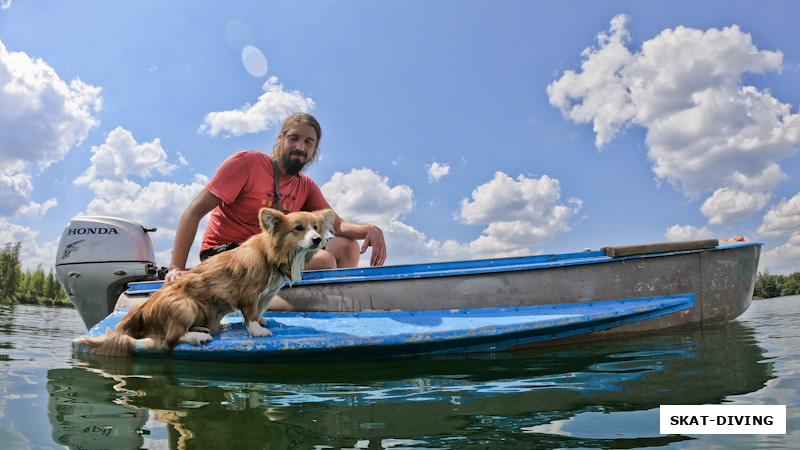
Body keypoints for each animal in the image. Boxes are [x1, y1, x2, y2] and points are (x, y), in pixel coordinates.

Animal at [72, 208, 334, 358]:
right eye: (298, 228)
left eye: (315, 227)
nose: (318, 239)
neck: (272, 255)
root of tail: (142, 309)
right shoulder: (249, 294)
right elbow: (250, 314)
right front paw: (258, 330)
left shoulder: (267, 295)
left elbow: (260, 310)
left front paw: (261, 321)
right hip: (185, 306)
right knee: (169, 339)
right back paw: (197, 337)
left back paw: (201, 329)